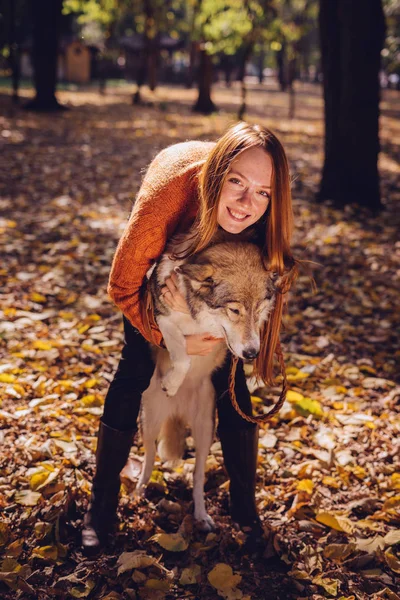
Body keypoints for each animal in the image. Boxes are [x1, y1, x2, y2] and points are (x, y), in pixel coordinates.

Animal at [137, 234, 278, 528]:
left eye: (259, 308)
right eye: (234, 310)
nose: (251, 353)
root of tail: (177, 412)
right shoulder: (161, 320)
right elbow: (183, 356)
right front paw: (171, 384)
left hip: (205, 433)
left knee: (197, 476)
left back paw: (202, 517)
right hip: (149, 425)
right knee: (149, 459)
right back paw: (137, 493)